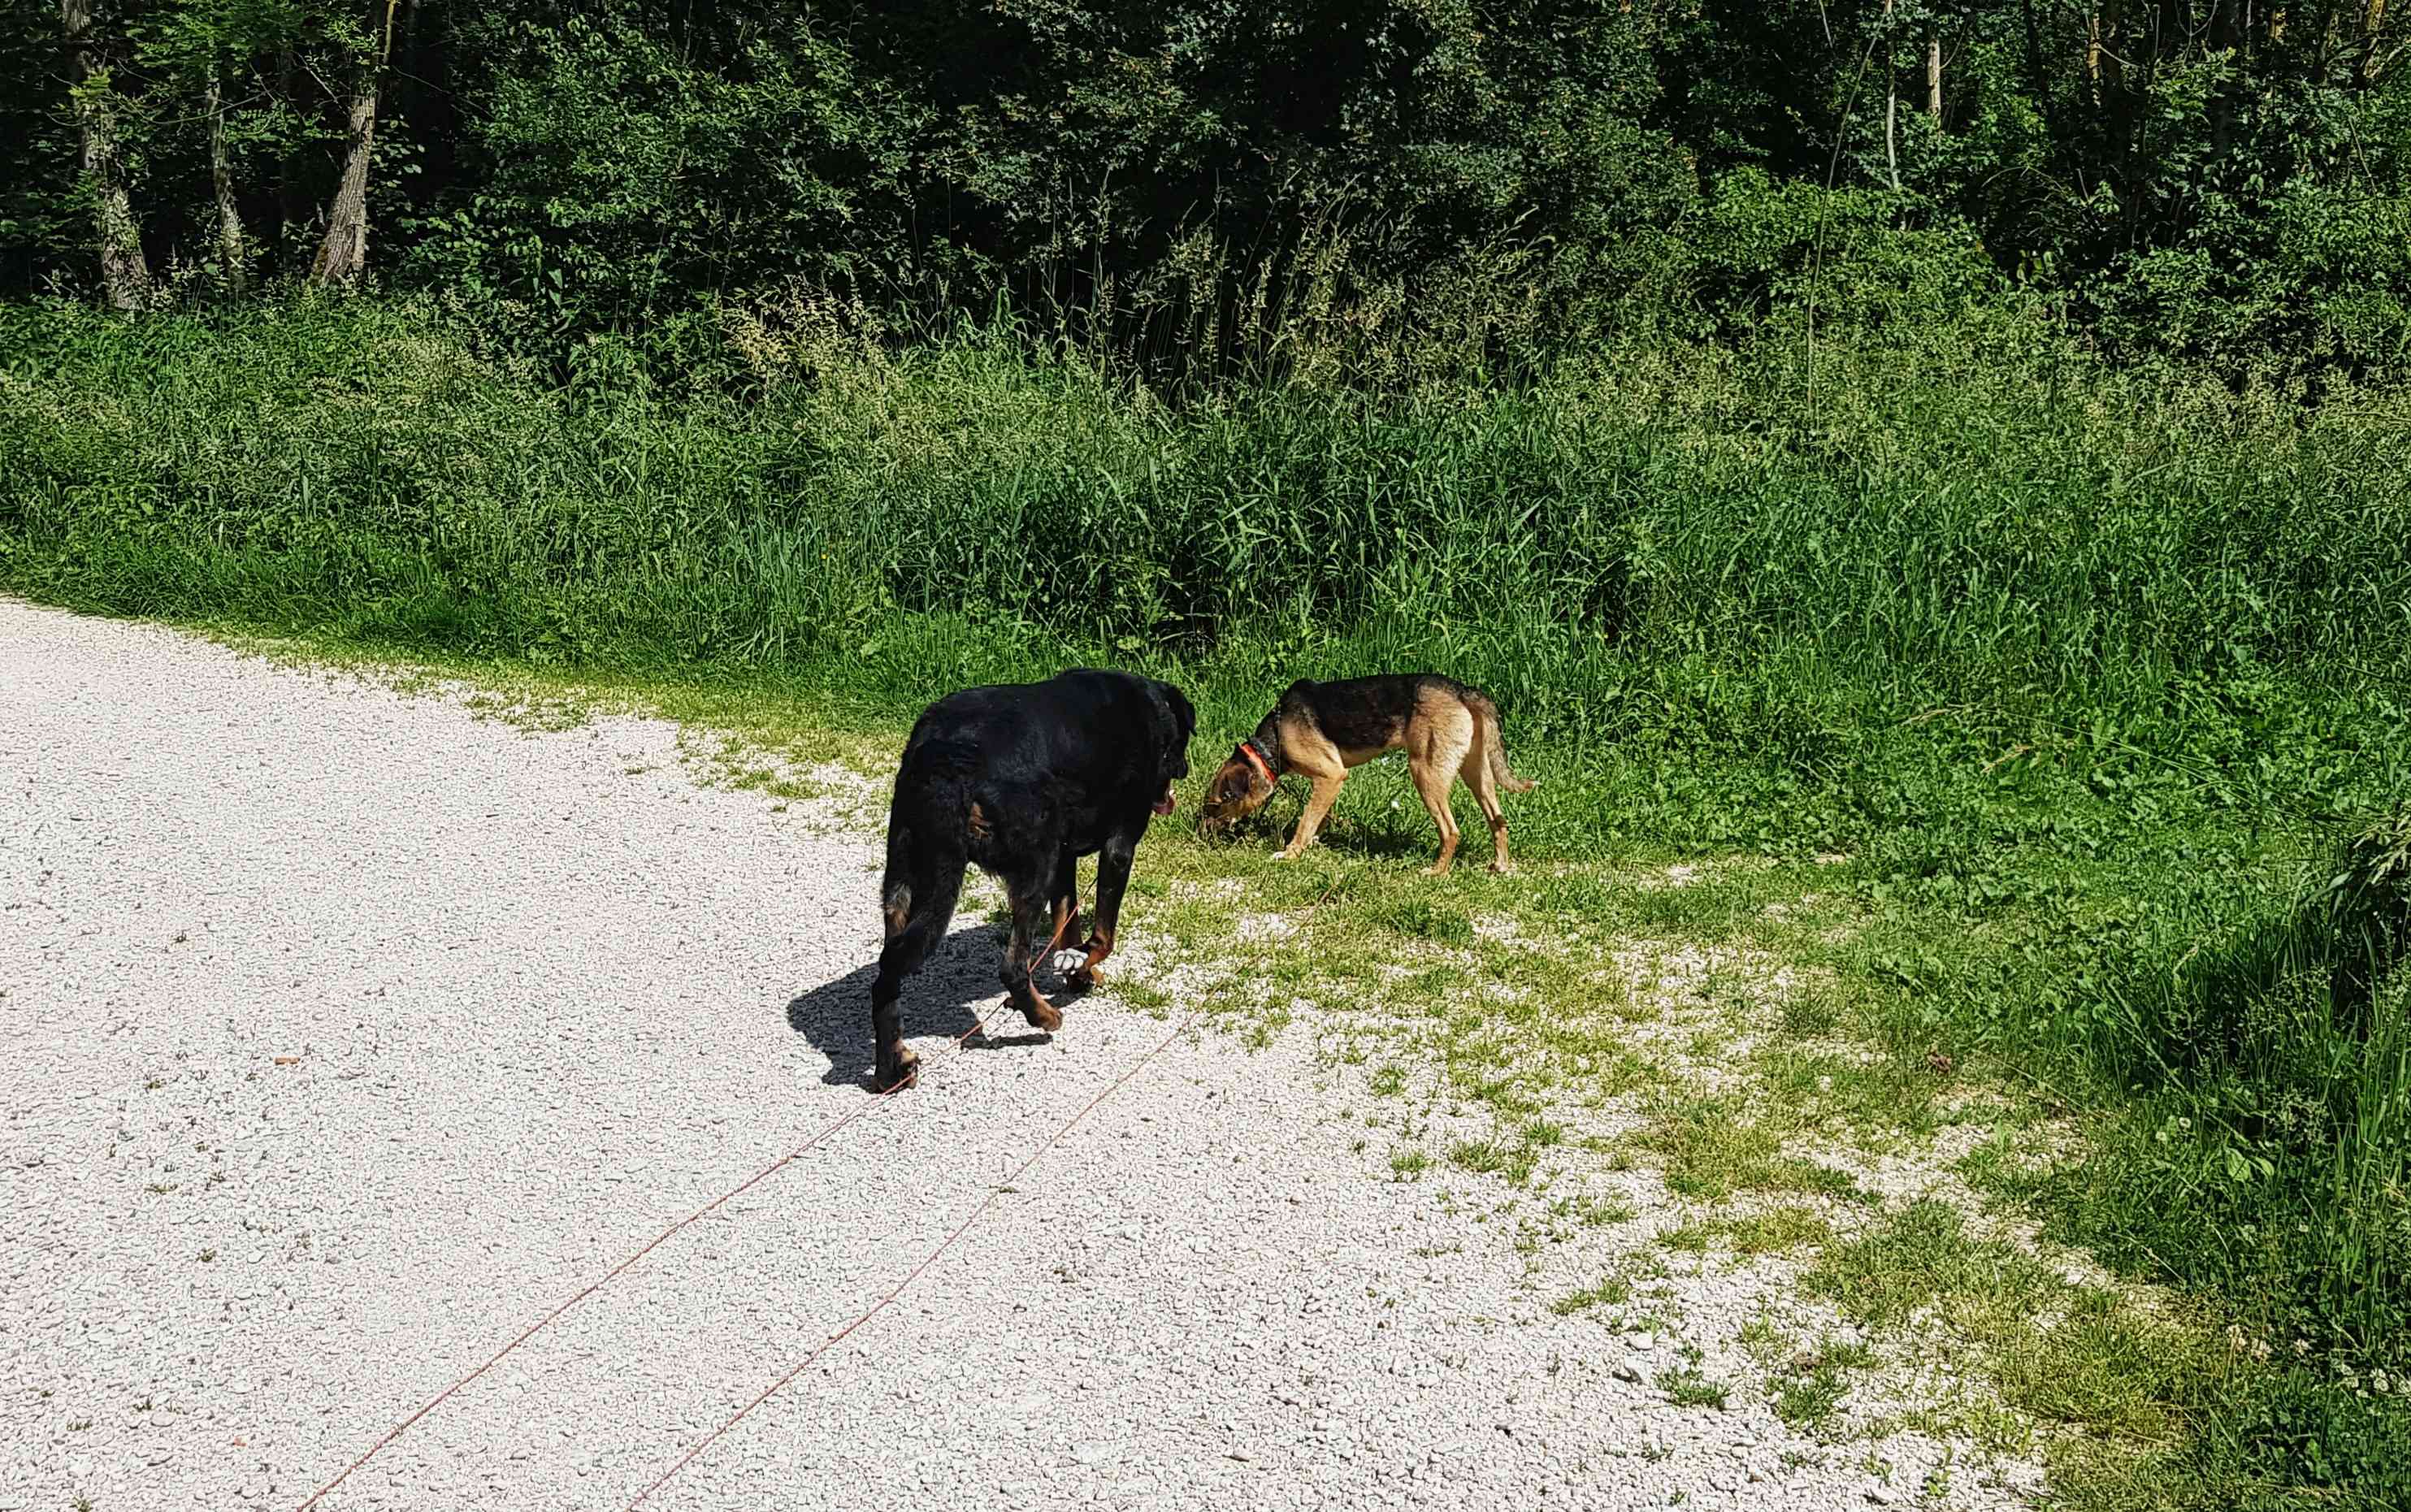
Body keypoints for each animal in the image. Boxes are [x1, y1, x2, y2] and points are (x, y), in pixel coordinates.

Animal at [873, 670, 1200, 1090]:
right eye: (1182, 742)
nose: (1185, 769)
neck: (1153, 710)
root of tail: (943, 757)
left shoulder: (1064, 857)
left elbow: (1068, 927)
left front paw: (1077, 970)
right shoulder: (1118, 847)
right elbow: (1102, 937)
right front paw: (1081, 969)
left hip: (902, 878)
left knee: (887, 973)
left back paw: (892, 1065)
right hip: (1027, 866)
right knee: (1011, 966)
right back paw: (1043, 1016)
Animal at [1200, 675, 1533, 877]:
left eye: (1214, 806)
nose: (1201, 835)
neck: (1273, 739)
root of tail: (1463, 690)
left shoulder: (1331, 774)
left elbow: (1305, 821)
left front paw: (1292, 853)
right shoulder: (1330, 782)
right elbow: (1318, 816)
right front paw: (1314, 842)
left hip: (1425, 774)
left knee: (1451, 831)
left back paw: (1437, 872)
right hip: (1477, 775)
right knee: (1498, 822)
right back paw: (1501, 865)